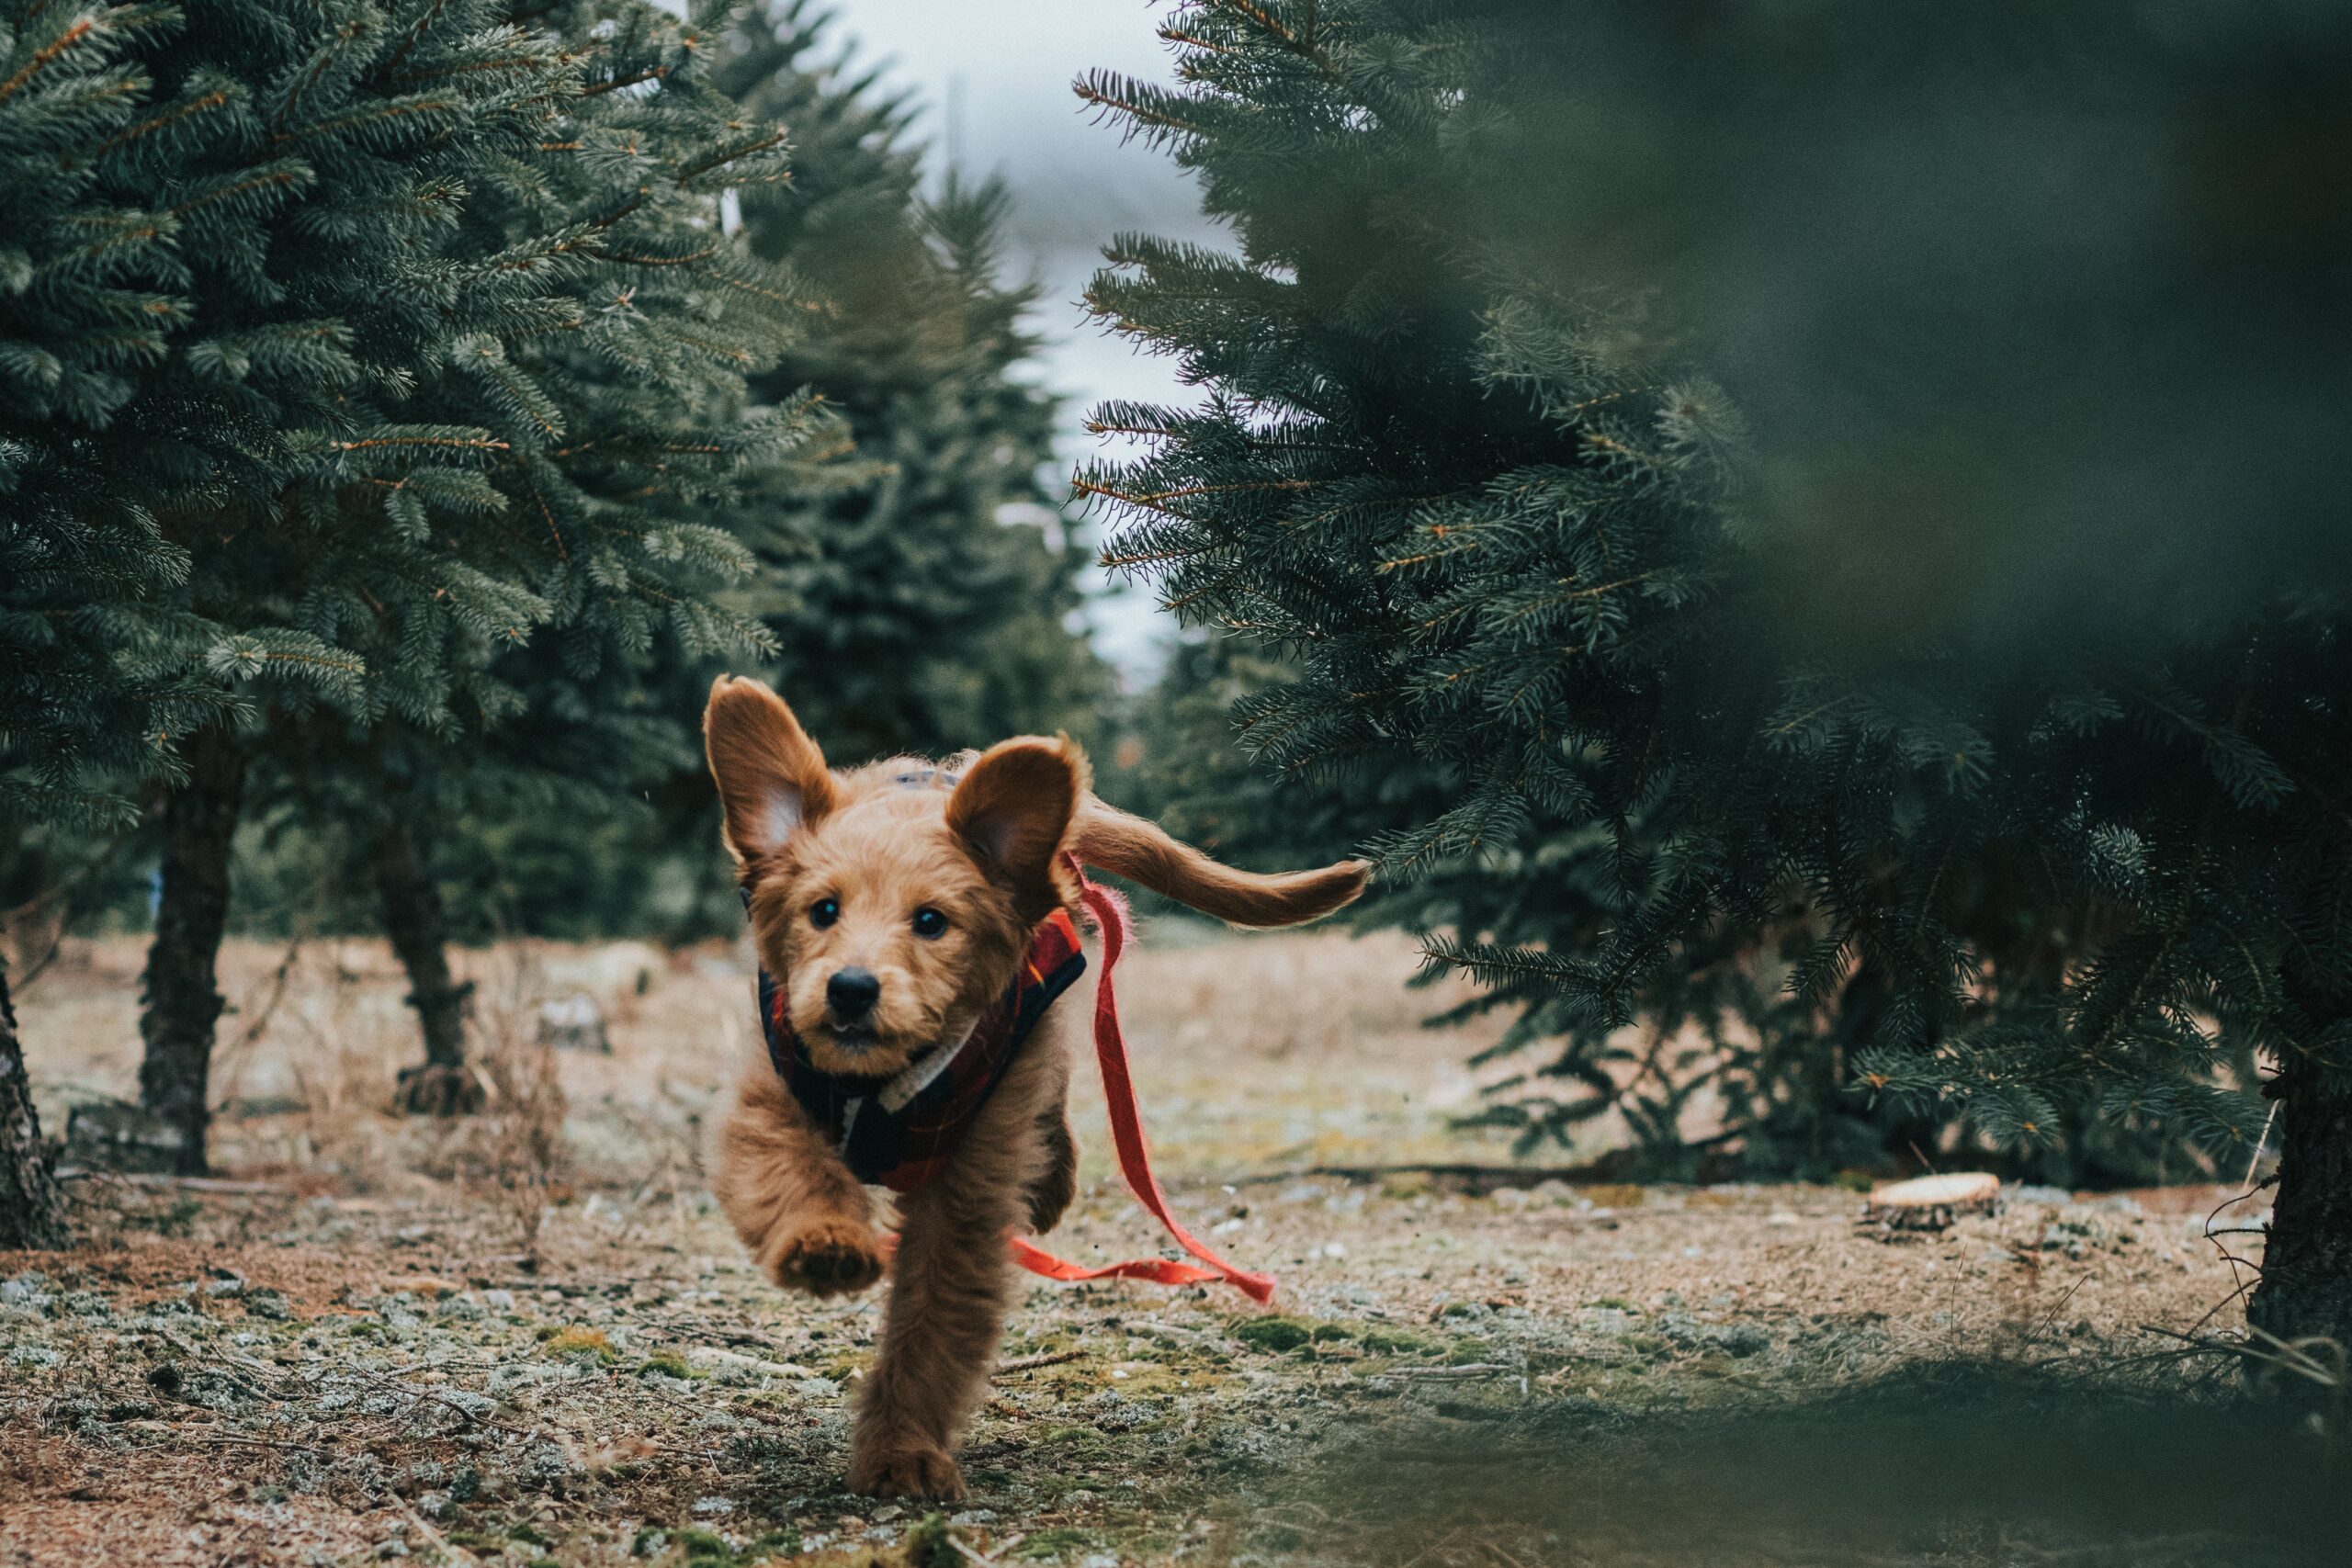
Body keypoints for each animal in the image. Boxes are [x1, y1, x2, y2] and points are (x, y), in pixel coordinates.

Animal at [695, 671, 1363, 1495]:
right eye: (824, 910)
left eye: (931, 922)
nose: (851, 989)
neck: (885, 1079)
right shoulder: (769, 1092)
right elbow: (790, 1172)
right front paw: (825, 1243)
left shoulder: (968, 1193)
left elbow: (930, 1327)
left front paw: (901, 1451)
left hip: (1034, 1041)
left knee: (1056, 1092)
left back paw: (1051, 1181)